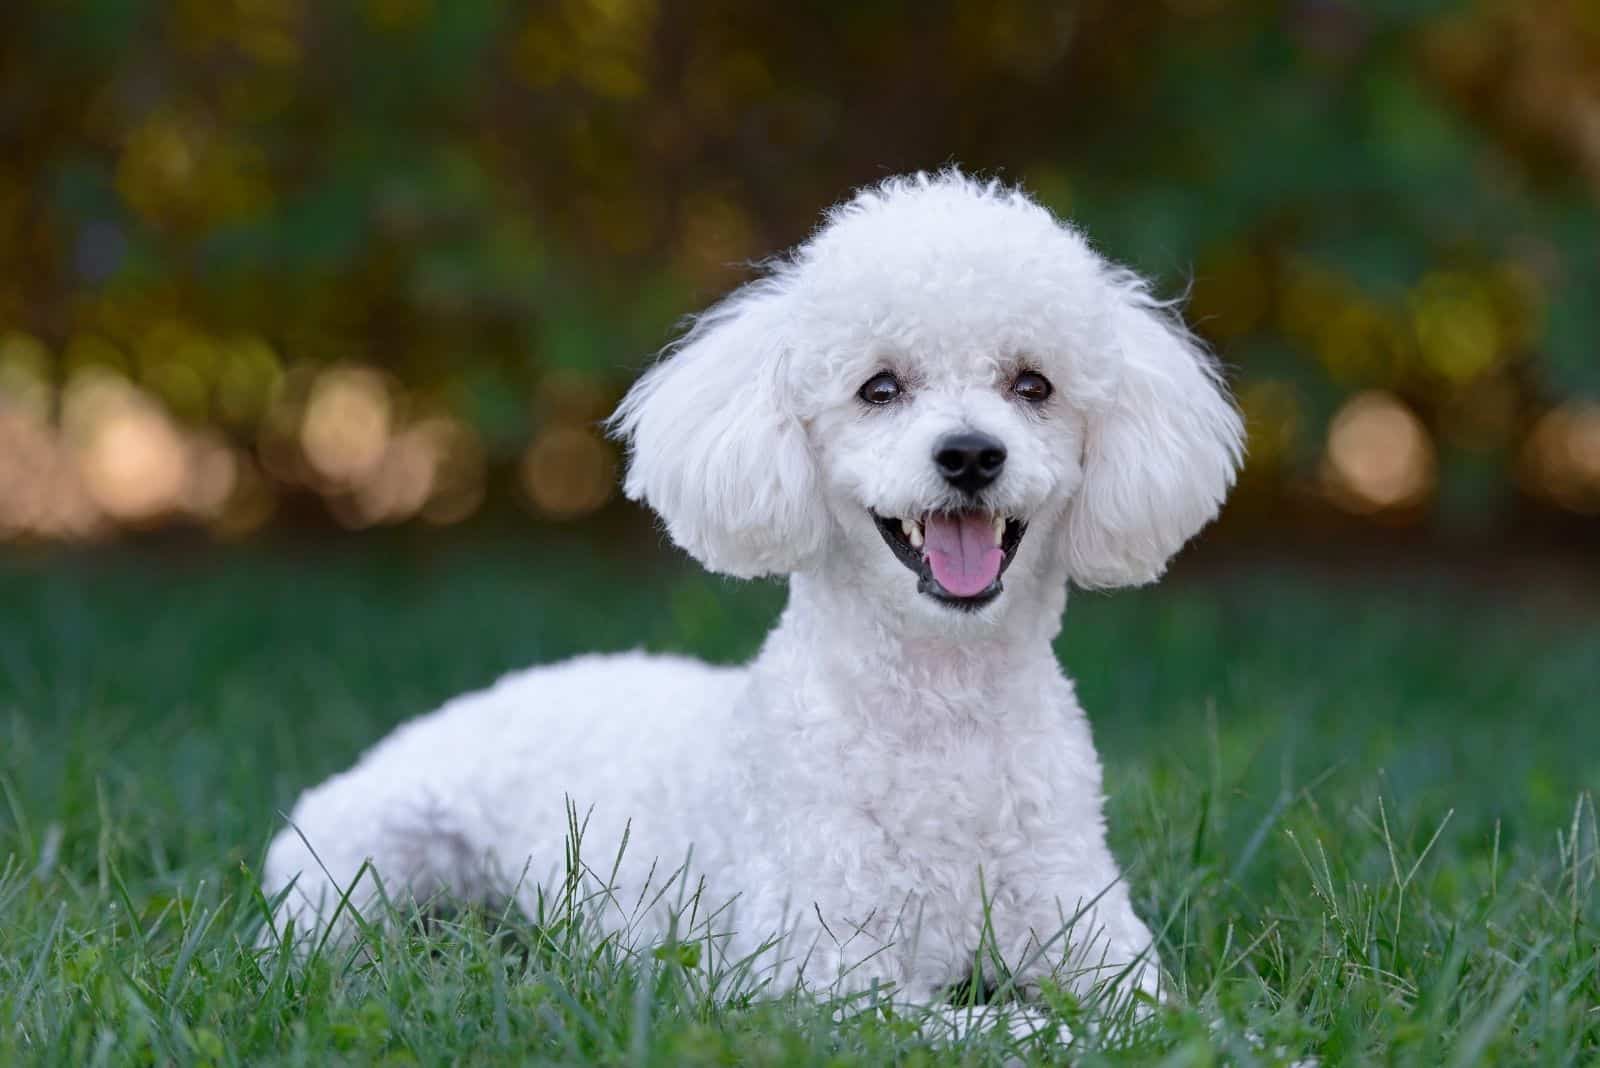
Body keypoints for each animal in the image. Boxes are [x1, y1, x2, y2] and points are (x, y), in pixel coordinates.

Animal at [262, 171, 1241, 1023]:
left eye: (1033, 385)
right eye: (880, 387)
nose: (970, 454)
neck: (944, 714)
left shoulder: (1092, 932)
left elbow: (1167, 1018)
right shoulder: (827, 981)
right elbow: (1014, 1033)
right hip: (363, 858)